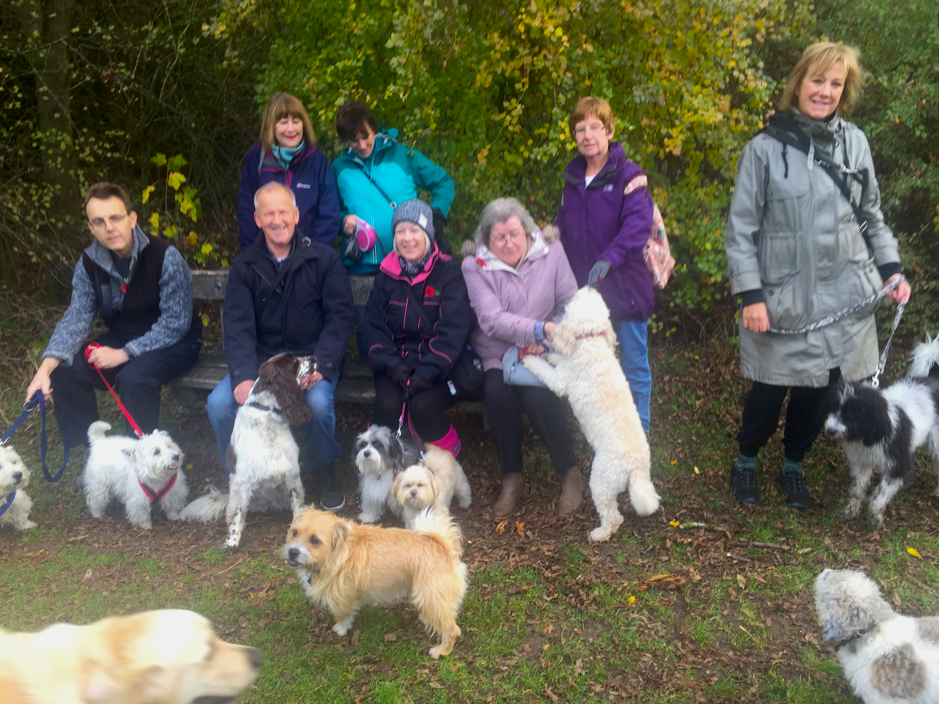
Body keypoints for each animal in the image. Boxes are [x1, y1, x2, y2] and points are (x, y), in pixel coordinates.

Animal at [180, 354, 316, 548]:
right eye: (294, 362)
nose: (314, 358)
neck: (268, 415)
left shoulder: (292, 472)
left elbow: (297, 501)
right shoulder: (242, 480)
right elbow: (236, 513)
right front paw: (232, 541)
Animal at [280, 508, 468, 656]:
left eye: (314, 540)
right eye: (294, 532)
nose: (293, 552)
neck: (338, 551)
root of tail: (443, 545)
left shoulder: (342, 598)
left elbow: (342, 616)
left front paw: (340, 629)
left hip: (432, 598)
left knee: (453, 630)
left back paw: (441, 651)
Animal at [520, 284, 660, 540]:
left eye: (576, 300)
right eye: (601, 301)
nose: (590, 285)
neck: (590, 341)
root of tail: (636, 466)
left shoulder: (559, 381)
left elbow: (544, 370)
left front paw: (530, 358)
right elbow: (557, 358)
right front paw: (552, 354)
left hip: (602, 480)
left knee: (613, 516)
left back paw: (600, 533)